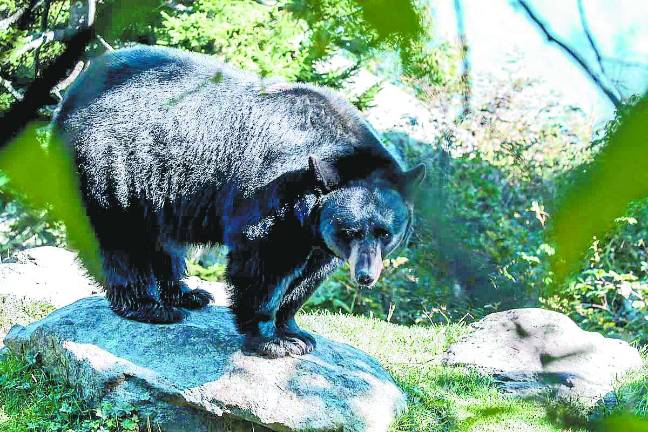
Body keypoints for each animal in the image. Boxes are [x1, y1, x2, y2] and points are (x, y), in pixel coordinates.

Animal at [53, 45, 425, 358]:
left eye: (384, 233)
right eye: (350, 231)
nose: (365, 275)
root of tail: (73, 91)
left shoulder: (316, 230)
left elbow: (309, 275)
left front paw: (296, 331)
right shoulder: (273, 191)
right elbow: (263, 261)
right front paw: (273, 340)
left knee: (163, 241)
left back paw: (188, 293)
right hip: (111, 166)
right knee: (122, 237)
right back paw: (149, 306)